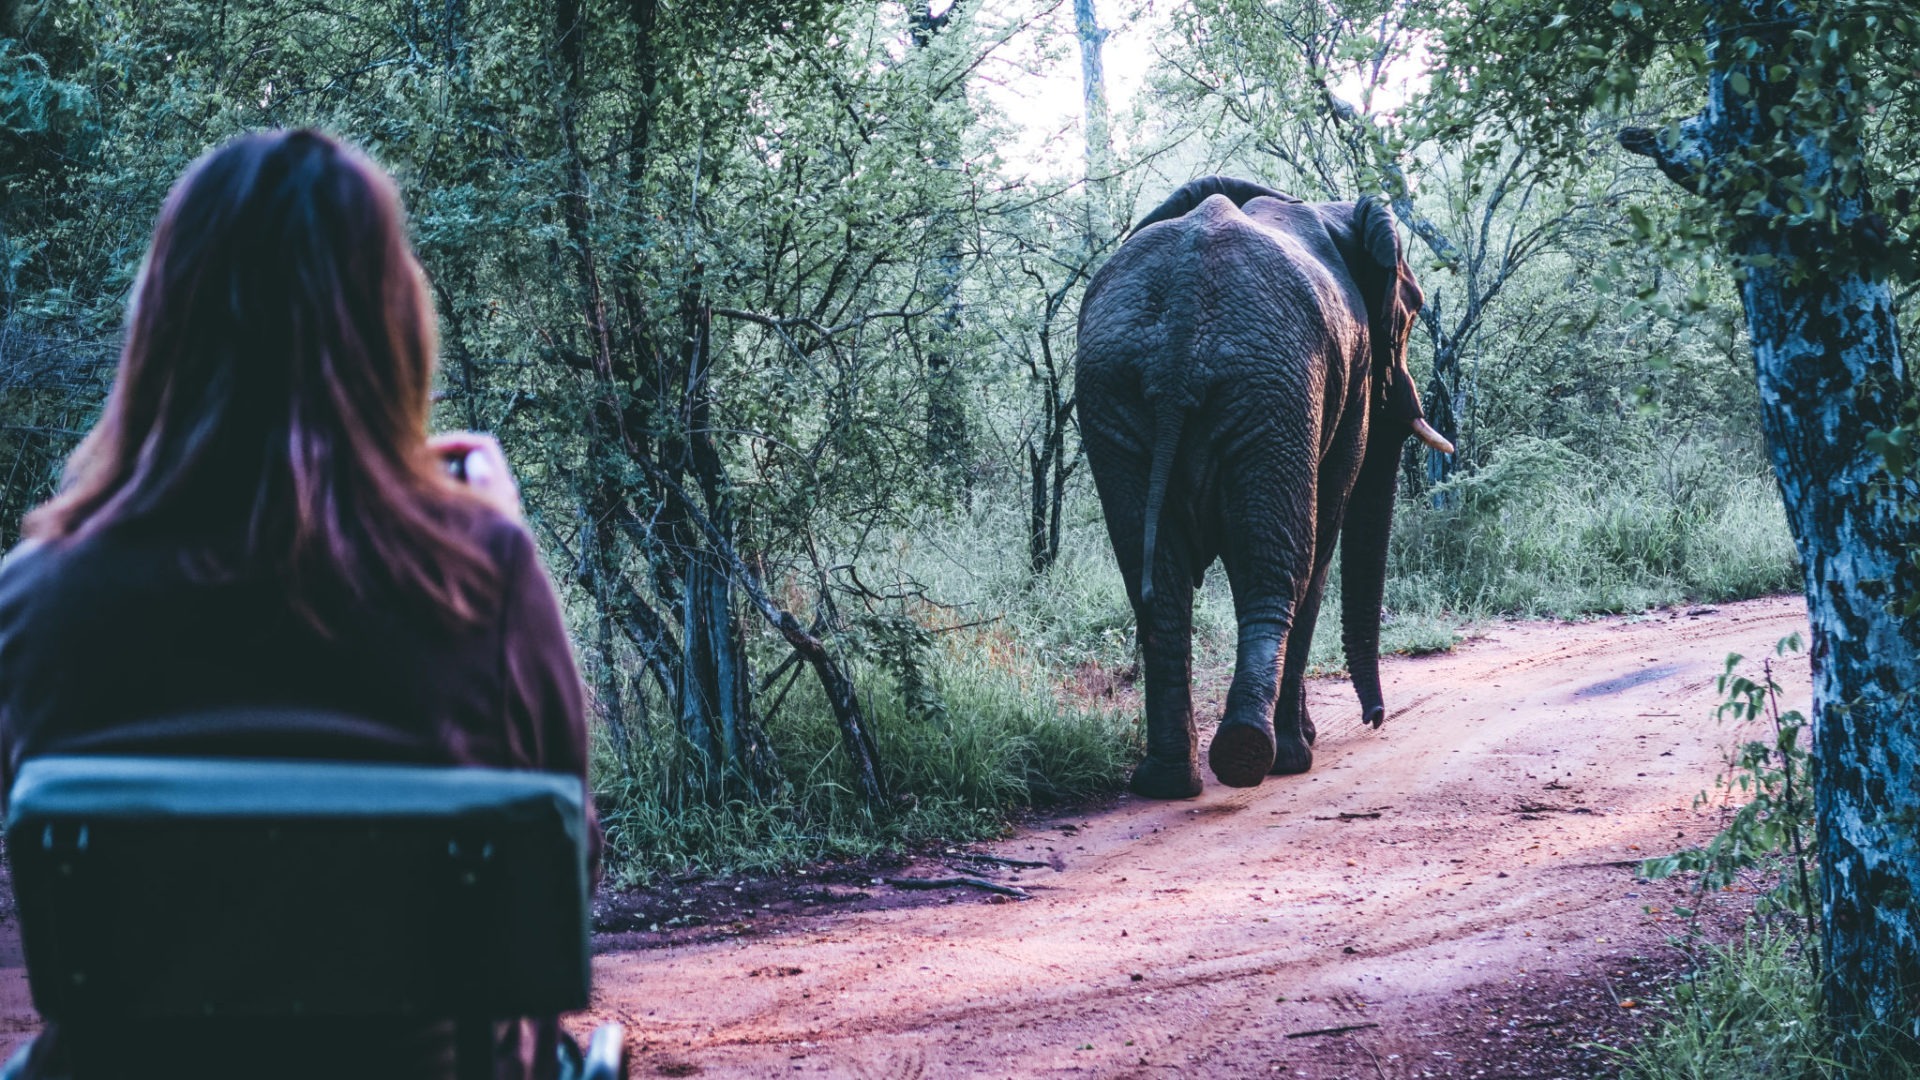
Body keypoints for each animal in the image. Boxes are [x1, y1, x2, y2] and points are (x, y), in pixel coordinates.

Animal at [1076, 176, 1453, 800]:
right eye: (1415, 308)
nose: (1376, 719)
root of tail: (1182, 317)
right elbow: (1324, 534)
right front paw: (1301, 747)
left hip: (1115, 392)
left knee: (1157, 582)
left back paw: (1168, 781)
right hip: (1274, 392)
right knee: (1281, 565)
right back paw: (1262, 756)